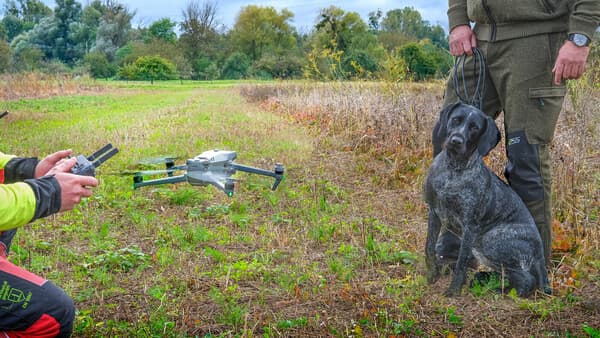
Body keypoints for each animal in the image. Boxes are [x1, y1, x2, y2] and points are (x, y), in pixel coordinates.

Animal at [424, 101, 552, 298]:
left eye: (474, 128)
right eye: (456, 120)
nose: (456, 141)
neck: (454, 170)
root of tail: (540, 253)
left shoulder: (470, 226)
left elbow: (461, 262)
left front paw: (454, 290)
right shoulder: (434, 212)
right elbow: (429, 247)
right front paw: (432, 275)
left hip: (489, 240)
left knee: (526, 279)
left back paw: (500, 292)